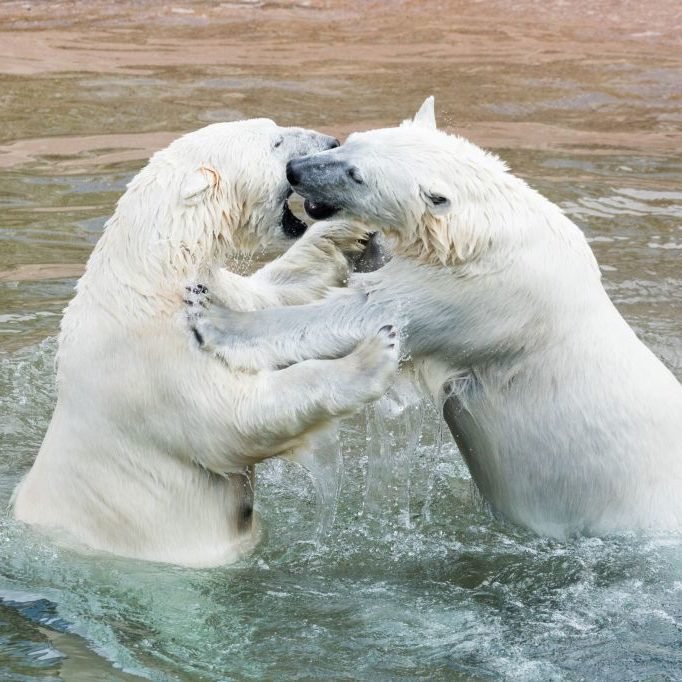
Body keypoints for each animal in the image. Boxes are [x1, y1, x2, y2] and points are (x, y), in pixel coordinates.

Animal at [12, 118, 399, 567]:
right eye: (276, 141)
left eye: (274, 126)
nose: (331, 140)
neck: (151, 278)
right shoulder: (155, 364)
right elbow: (235, 417)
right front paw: (373, 354)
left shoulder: (212, 293)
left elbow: (272, 299)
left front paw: (345, 230)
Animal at [191, 99, 682, 538]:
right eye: (350, 142)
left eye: (357, 175)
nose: (295, 169)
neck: (480, 233)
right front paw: (361, 241)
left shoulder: (472, 295)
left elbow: (362, 310)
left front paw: (214, 316)